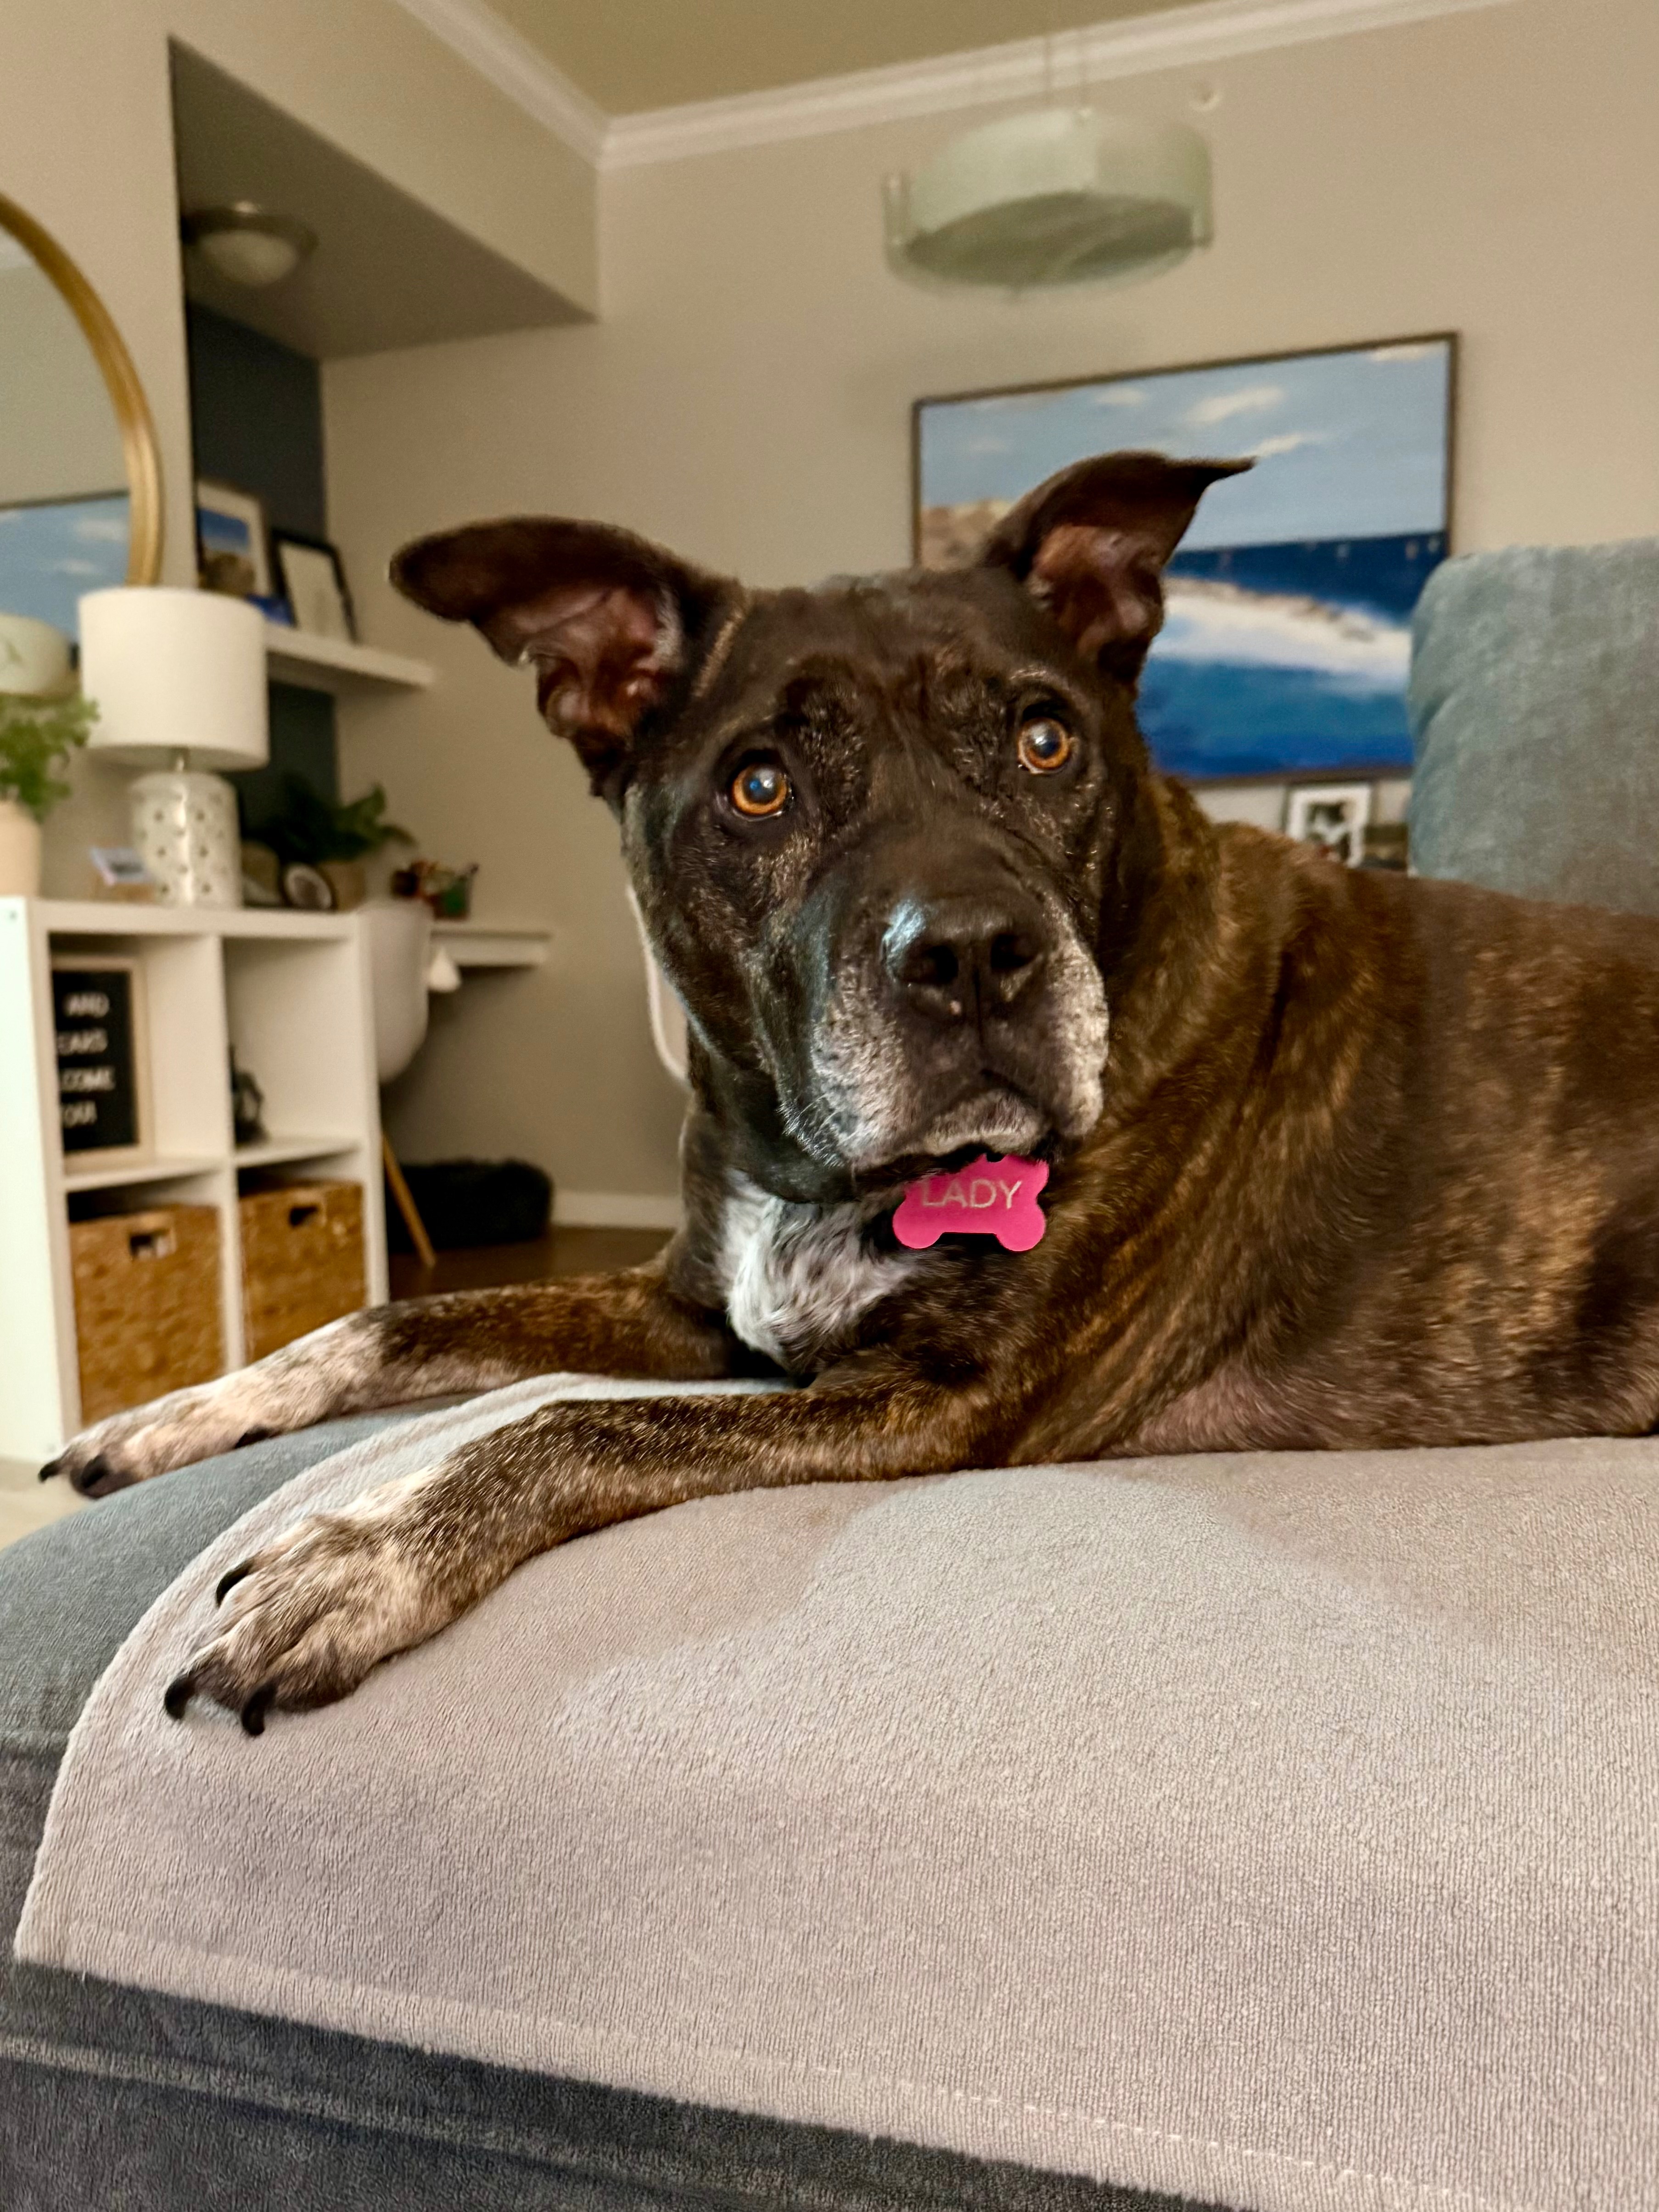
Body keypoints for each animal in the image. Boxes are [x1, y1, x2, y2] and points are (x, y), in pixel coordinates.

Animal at [42, 450, 1659, 1732]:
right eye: (757, 784)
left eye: (1043, 738)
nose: (975, 956)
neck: (809, 1161)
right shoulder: (695, 1308)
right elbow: (390, 1321)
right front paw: (177, 1411)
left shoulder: (934, 1402)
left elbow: (571, 1426)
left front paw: (360, 1558)